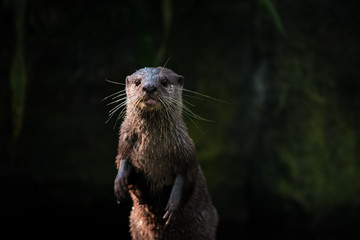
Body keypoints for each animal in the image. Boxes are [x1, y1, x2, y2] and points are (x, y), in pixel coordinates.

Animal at [114, 66, 218, 239]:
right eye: (138, 81)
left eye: (164, 81)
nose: (149, 87)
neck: (153, 152)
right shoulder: (124, 142)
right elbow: (122, 161)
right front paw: (120, 182)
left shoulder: (186, 152)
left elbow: (186, 178)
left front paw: (172, 207)